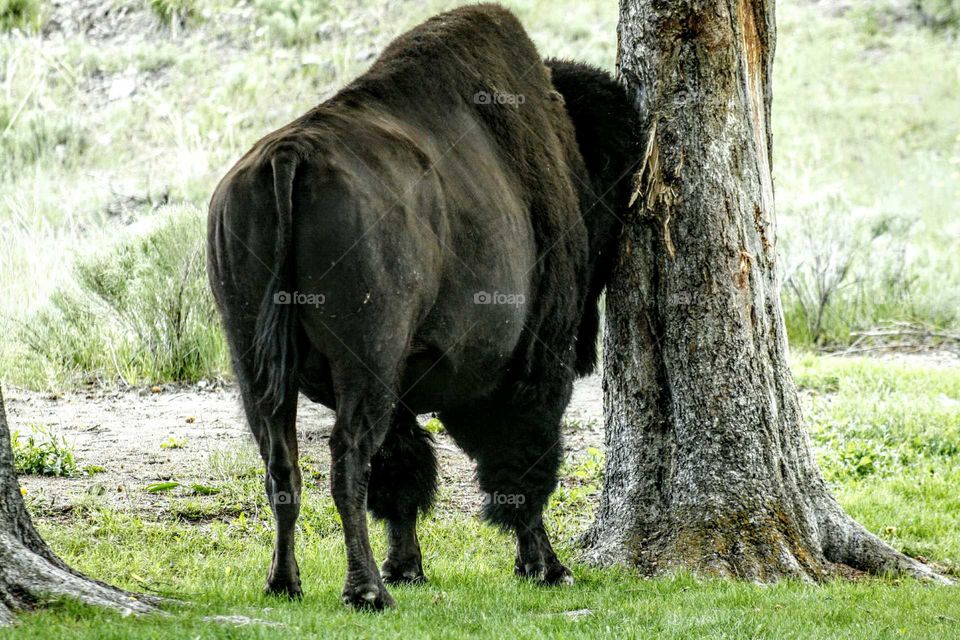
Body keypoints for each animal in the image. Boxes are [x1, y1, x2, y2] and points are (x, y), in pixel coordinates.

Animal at [207, 3, 640, 609]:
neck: (567, 148)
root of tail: (290, 157)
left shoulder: (404, 392)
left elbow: (405, 472)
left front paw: (408, 567)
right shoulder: (533, 367)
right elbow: (522, 465)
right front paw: (547, 567)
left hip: (252, 357)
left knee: (282, 465)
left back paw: (286, 583)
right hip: (367, 360)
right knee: (347, 459)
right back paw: (367, 592)